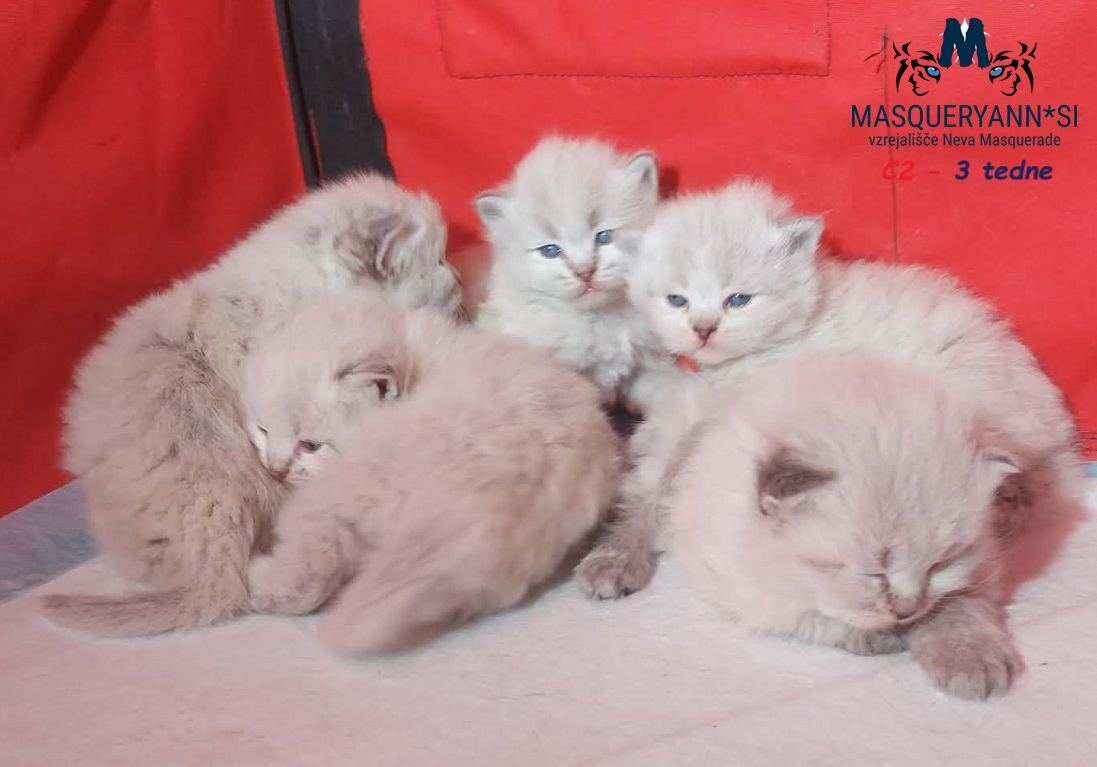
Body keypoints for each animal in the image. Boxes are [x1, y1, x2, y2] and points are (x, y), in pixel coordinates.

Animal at [243, 292, 621, 655]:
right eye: (262, 429)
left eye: (309, 445)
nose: (275, 469)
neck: (423, 361)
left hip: (342, 487)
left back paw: (265, 584)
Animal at [576, 179, 1085, 599]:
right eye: (676, 300)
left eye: (738, 299)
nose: (703, 329)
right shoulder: (683, 411)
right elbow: (650, 478)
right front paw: (618, 552)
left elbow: (674, 480)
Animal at [667, 350, 1024, 700]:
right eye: (874, 571)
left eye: (941, 562)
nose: (907, 611)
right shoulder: (743, 588)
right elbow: (820, 617)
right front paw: (885, 637)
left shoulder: (983, 562)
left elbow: (959, 605)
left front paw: (968, 658)